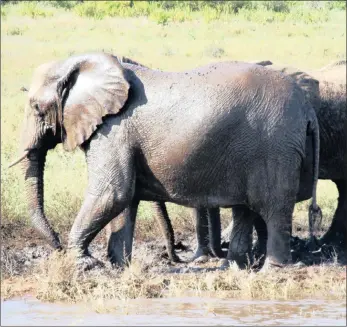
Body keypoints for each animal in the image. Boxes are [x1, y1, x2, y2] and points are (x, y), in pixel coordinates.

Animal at [9, 52, 322, 272]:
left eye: (37, 108)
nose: (57, 245)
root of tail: (308, 109)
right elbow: (125, 200)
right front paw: (119, 266)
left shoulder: (113, 130)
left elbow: (113, 192)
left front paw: (84, 266)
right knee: (245, 208)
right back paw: (234, 268)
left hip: (275, 146)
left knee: (273, 206)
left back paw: (272, 270)